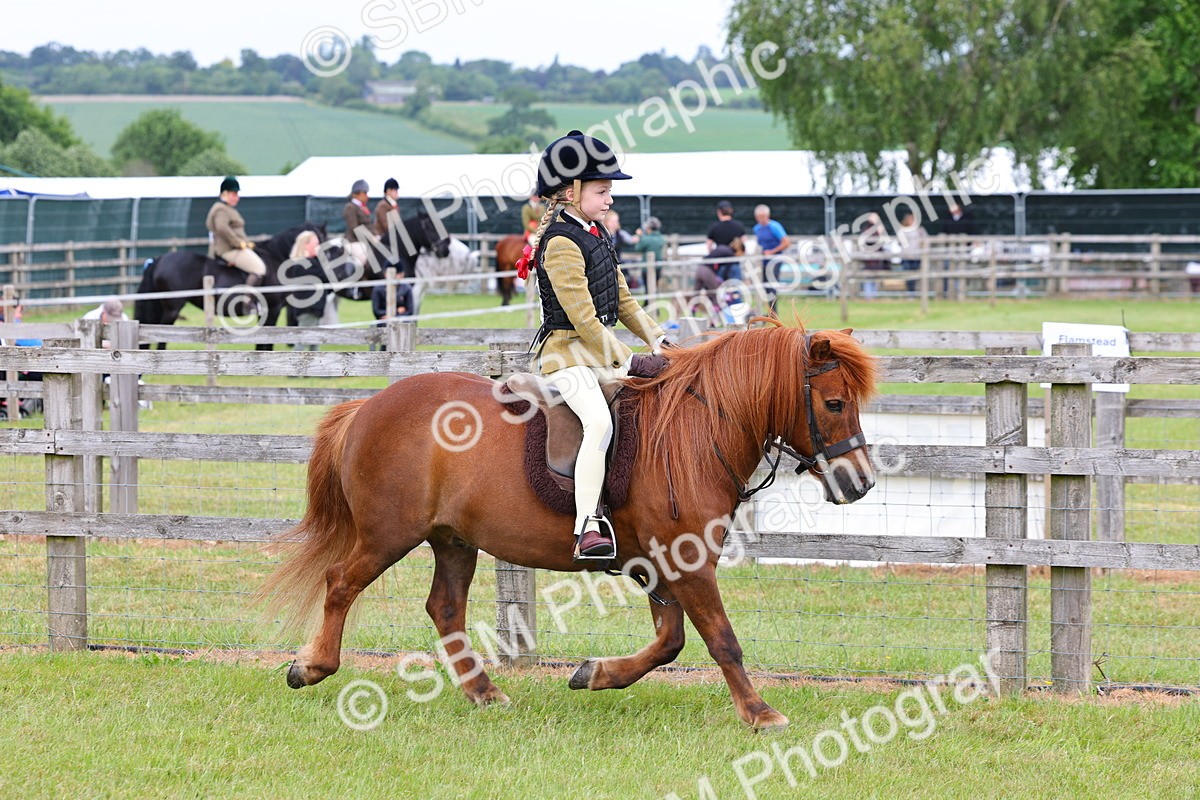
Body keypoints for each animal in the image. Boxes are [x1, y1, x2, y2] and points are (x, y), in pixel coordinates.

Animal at [261, 322, 878, 729]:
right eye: (834, 402)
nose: (862, 483)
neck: (694, 430)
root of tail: (367, 406)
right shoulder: (688, 563)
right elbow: (722, 641)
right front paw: (760, 713)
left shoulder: (661, 566)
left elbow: (670, 642)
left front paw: (595, 673)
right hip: (387, 536)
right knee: (341, 583)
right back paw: (311, 666)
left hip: (453, 540)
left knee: (444, 608)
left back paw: (484, 693)